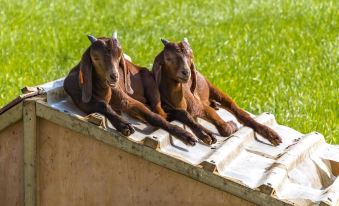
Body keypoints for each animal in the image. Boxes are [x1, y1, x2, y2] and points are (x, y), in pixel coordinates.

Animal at [63, 33, 197, 146]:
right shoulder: (81, 101)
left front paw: (185, 135)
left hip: (152, 89)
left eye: (119, 56)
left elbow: (153, 116)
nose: (114, 76)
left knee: (163, 113)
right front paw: (124, 126)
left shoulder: (125, 99)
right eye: (95, 57)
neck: (104, 92)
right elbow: (102, 105)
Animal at [153, 38, 282, 145]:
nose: (186, 72)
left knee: (239, 111)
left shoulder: (200, 106)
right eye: (168, 58)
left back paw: (273, 136)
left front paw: (231, 125)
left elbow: (224, 128)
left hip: (213, 88)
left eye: (191, 57)